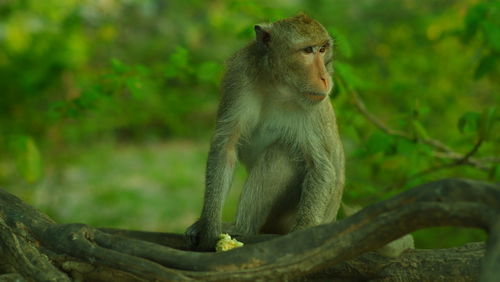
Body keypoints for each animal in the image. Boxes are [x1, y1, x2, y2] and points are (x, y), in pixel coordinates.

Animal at [186, 14, 346, 250]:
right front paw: (209, 227)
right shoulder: (239, 75)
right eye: (308, 51)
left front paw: (302, 234)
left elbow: (321, 167)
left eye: (323, 49)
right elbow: (226, 147)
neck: (278, 85)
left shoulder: (315, 104)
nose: (324, 77)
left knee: (282, 153)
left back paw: (242, 228)